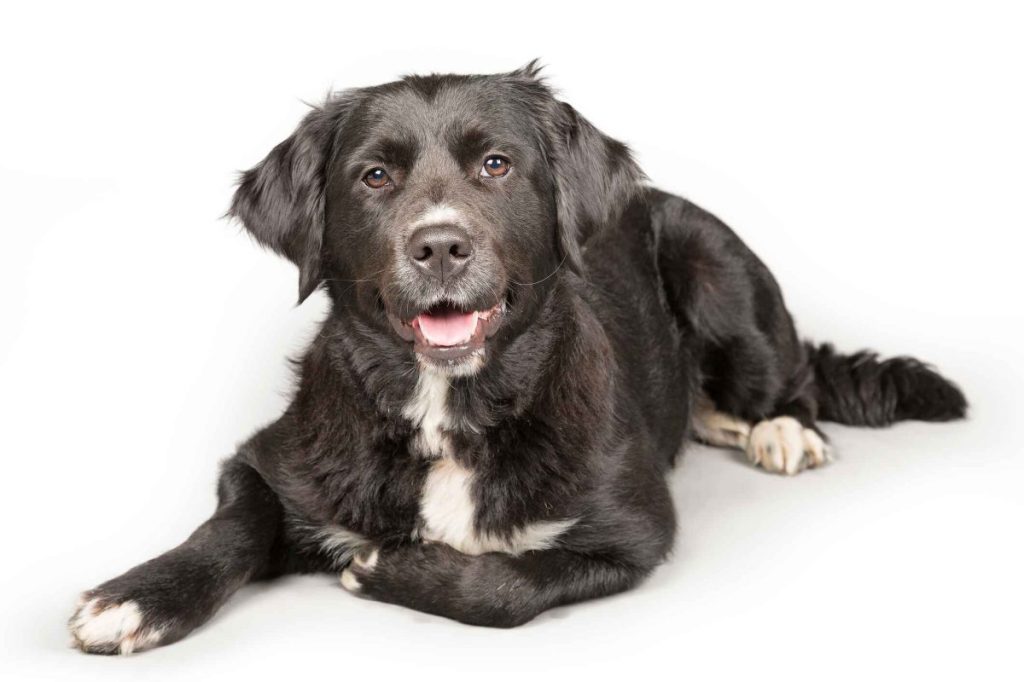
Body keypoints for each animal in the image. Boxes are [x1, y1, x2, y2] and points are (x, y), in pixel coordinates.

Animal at [68, 63, 962, 655]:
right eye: (375, 176)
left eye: (495, 164)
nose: (440, 245)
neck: (448, 407)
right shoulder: (264, 460)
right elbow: (234, 524)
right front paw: (138, 597)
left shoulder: (636, 531)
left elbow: (509, 583)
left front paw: (392, 571)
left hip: (715, 263)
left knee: (789, 373)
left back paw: (775, 426)